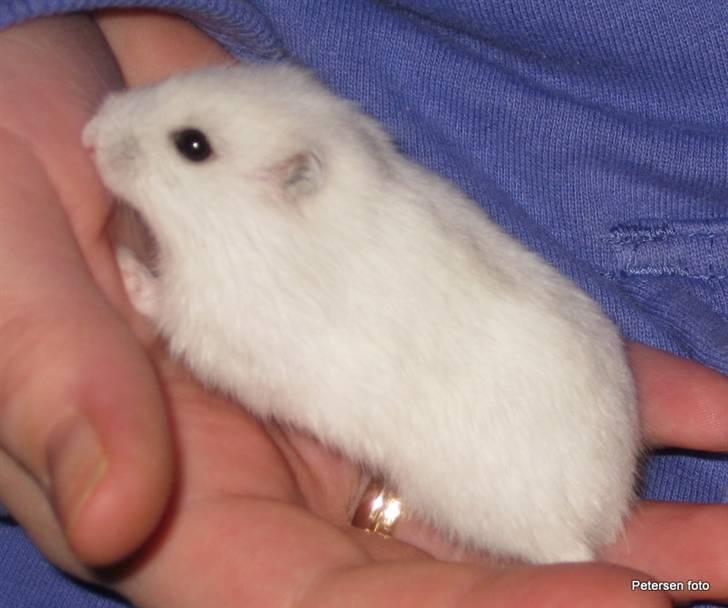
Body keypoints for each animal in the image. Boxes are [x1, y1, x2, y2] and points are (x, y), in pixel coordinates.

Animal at [83, 62, 640, 564]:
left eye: (193, 145)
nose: (89, 134)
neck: (246, 221)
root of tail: (607, 513)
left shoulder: (208, 318)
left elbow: (156, 299)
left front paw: (123, 260)